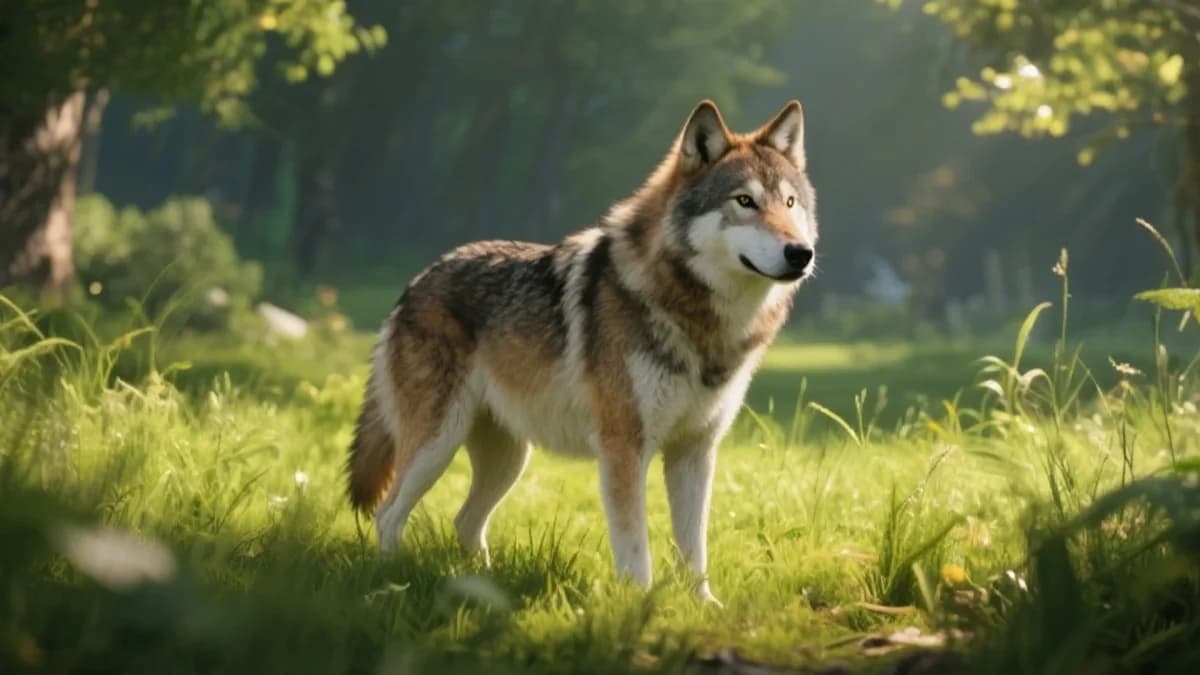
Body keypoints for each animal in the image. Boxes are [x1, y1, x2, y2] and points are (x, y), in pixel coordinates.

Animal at [347, 99, 817, 603]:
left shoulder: (695, 452)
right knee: (389, 514)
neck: (700, 319)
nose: (801, 253)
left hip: (507, 461)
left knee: (465, 521)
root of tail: (415, 282)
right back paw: (389, 584)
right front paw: (638, 604)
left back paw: (480, 589)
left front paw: (703, 606)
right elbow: (635, 544)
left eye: (790, 204)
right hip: (436, 446)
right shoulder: (624, 448)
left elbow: (694, 549)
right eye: (745, 201)